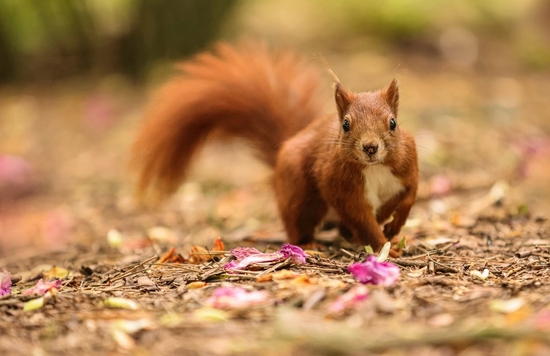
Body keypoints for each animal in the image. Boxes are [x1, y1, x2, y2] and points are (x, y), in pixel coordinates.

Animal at [134, 42, 418, 253]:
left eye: (392, 123)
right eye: (346, 125)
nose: (370, 147)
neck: (375, 168)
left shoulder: (407, 166)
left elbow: (409, 197)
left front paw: (394, 227)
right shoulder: (341, 185)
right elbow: (361, 218)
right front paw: (384, 245)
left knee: (347, 227)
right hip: (301, 195)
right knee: (300, 223)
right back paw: (309, 244)